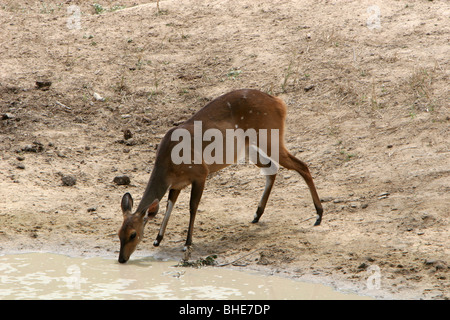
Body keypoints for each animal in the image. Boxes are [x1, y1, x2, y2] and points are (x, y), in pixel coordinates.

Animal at [118, 89, 322, 262]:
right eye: (119, 233)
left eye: (133, 234)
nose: (121, 259)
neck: (168, 162)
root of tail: (279, 102)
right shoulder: (177, 184)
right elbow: (170, 205)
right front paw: (158, 239)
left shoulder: (201, 174)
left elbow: (192, 207)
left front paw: (187, 243)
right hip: (251, 148)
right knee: (272, 170)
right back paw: (257, 215)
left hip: (270, 139)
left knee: (302, 165)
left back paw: (319, 214)